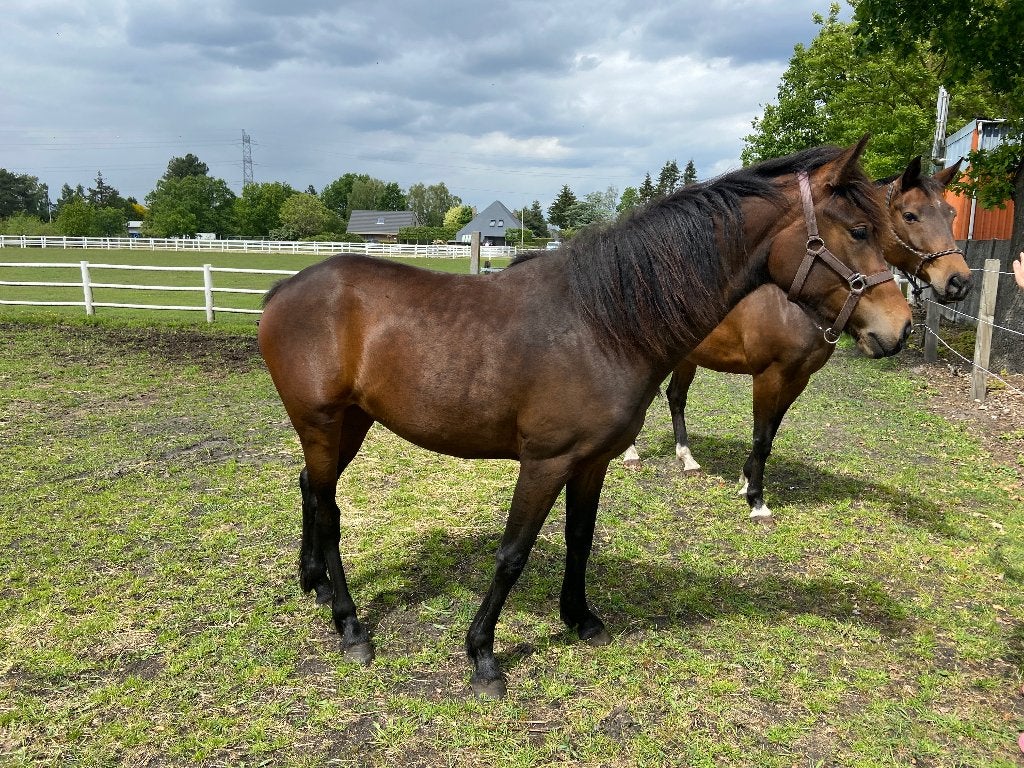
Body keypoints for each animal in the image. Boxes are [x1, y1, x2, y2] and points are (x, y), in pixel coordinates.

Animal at [257, 138, 912, 698]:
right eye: (859, 229)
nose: (899, 329)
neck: (603, 324)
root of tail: (283, 290)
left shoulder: (591, 461)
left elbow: (580, 537)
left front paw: (578, 617)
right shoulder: (544, 463)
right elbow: (513, 553)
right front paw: (483, 656)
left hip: (350, 424)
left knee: (311, 489)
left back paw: (314, 584)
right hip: (322, 424)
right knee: (330, 512)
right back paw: (350, 627)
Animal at [621, 157, 970, 520]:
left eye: (950, 214)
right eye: (910, 215)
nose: (959, 281)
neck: (792, 304)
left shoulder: (798, 378)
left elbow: (771, 434)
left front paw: (746, 480)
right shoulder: (768, 375)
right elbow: (761, 436)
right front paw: (756, 500)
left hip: (688, 357)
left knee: (676, 397)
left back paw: (687, 458)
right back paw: (631, 454)